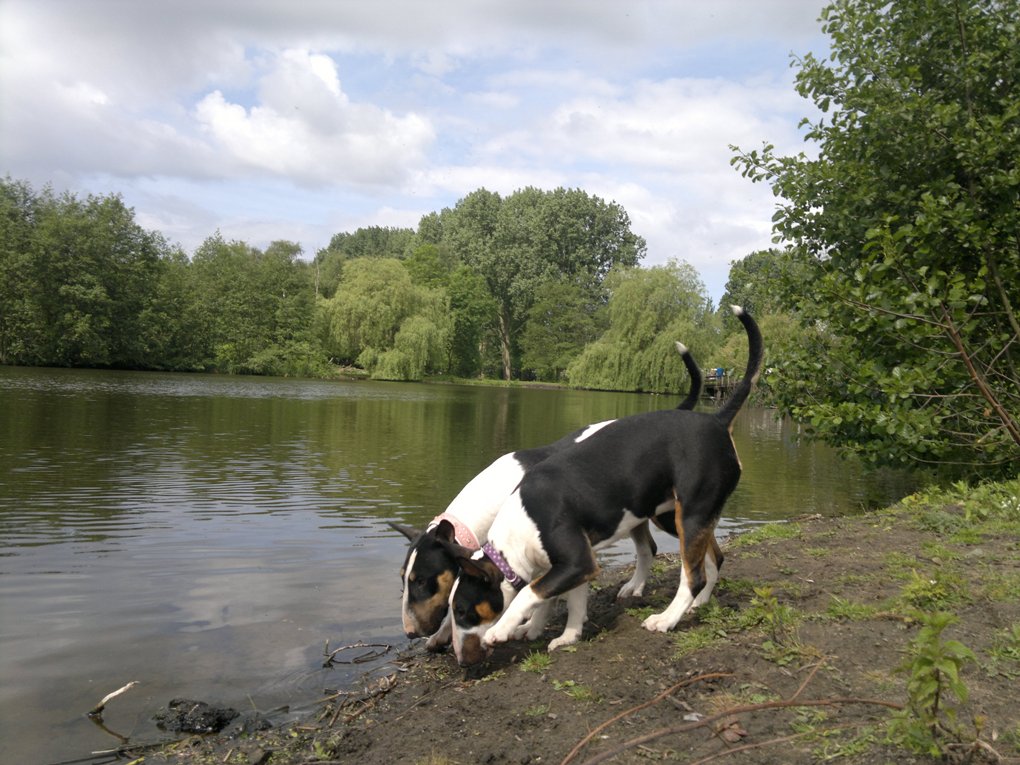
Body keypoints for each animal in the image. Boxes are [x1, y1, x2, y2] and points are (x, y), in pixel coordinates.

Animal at [389, 350, 701, 648]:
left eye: (423, 580)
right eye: (403, 578)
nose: (409, 632)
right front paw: (442, 635)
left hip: (664, 512)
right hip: (633, 514)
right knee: (648, 548)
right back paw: (634, 587)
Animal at [450, 308, 762, 669]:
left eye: (462, 611)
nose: (461, 661)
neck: (521, 526)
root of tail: (716, 420)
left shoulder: (577, 563)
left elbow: (530, 593)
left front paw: (503, 630)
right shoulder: (567, 566)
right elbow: (561, 601)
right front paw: (557, 633)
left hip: (690, 516)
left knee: (692, 576)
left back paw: (666, 619)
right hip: (688, 518)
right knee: (712, 559)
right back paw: (699, 604)